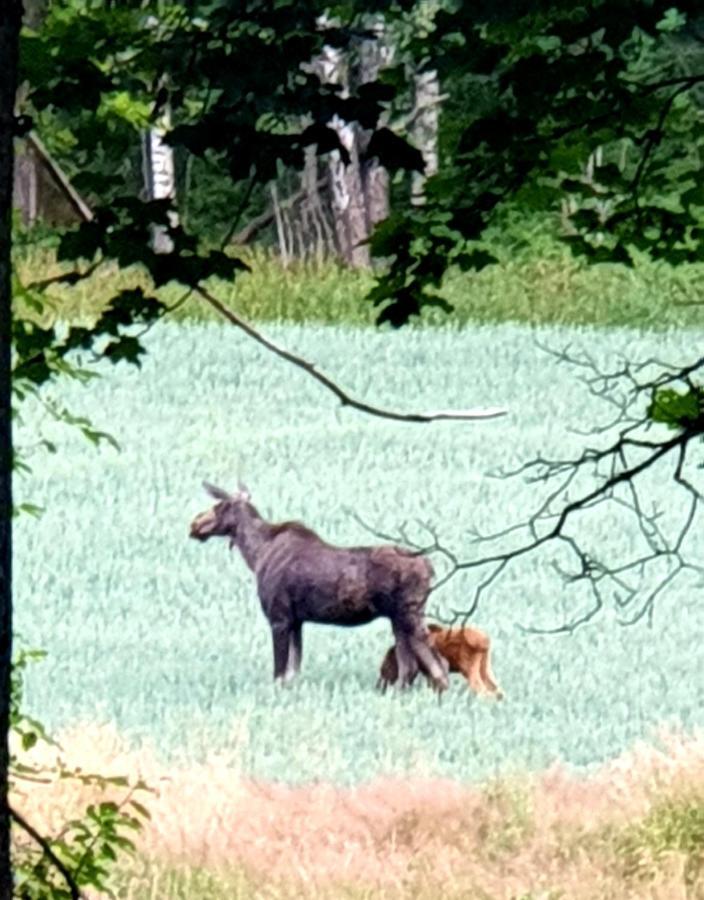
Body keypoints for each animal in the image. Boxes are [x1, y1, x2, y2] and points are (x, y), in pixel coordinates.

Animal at [190, 482, 448, 692]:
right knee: (410, 668)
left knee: (437, 665)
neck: (256, 555)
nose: (194, 525)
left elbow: (279, 673)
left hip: (409, 614)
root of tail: (430, 567)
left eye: (220, 505)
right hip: (398, 619)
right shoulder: (296, 620)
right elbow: (293, 670)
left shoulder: (279, 617)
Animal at [376, 624, 504, 700]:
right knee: (497, 690)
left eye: (384, 669)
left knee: (483, 690)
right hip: (485, 666)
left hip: (469, 667)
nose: (379, 687)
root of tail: (486, 642)